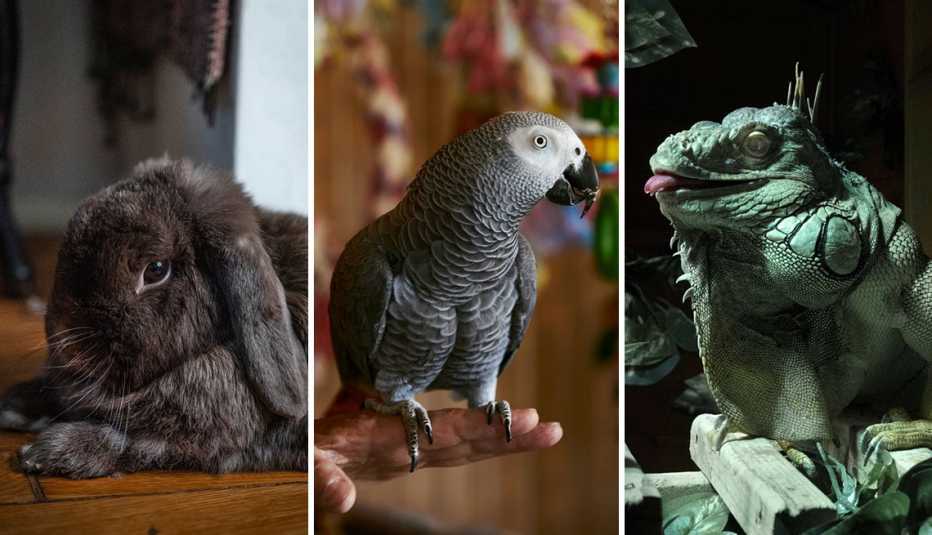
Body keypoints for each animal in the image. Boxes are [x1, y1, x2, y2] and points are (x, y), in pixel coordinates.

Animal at [0, 158, 308, 478]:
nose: (68, 345)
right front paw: (16, 405)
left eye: (156, 270)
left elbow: (129, 443)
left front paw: (45, 452)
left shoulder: (198, 441)